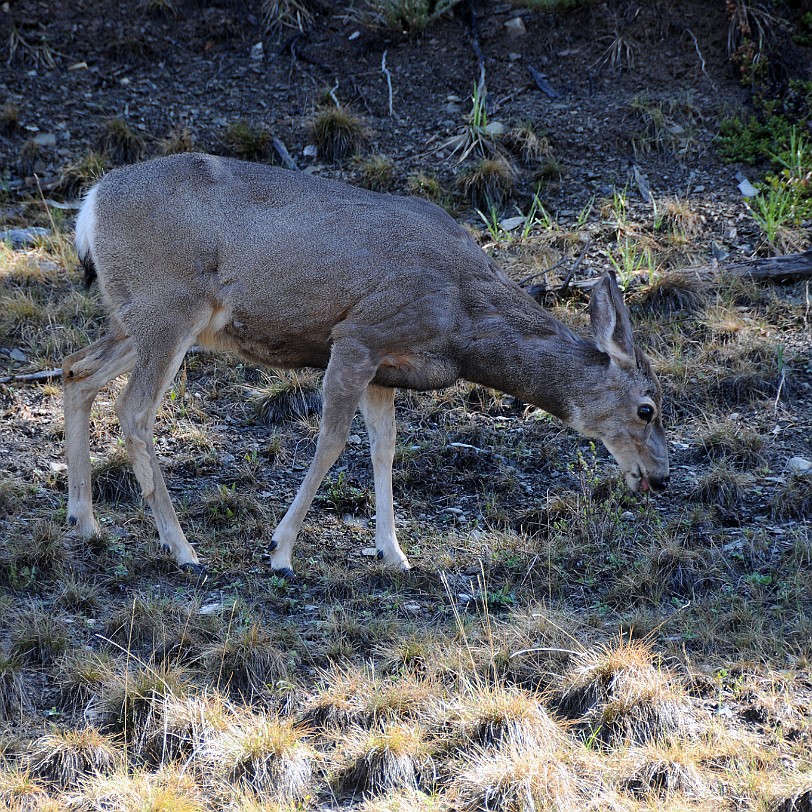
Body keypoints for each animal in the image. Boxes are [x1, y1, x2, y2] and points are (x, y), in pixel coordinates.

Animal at [63, 154, 668, 576]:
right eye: (647, 408)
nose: (660, 477)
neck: (464, 325)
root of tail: (90, 206)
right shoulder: (358, 334)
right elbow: (332, 441)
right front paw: (280, 552)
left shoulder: (386, 364)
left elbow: (385, 448)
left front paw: (393, 554)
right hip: (168, 307)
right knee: (134, 411)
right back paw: (182, 548)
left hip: (137, 318)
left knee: (75, 371)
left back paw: (85, 522)